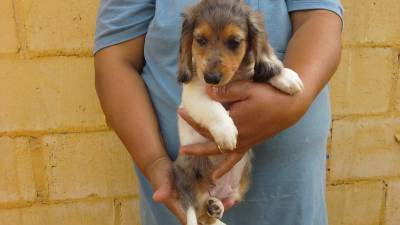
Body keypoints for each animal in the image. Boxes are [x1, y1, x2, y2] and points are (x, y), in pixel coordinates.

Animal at [172, 0, 304, 224]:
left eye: (234, 42)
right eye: (200, 40)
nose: (211, 78)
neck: (231, 80)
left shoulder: (247, 75)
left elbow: (260, 71)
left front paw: (285, 76)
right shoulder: (195, 94)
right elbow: (213, 108)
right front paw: (226, 131)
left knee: (209, 213)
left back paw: (215, 206)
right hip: (190, 178)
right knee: (198, 215)